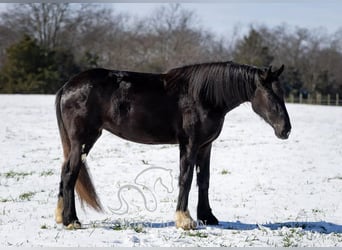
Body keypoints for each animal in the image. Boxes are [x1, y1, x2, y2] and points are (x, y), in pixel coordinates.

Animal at [54, 61, 292, 229]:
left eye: (282, 93)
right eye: (270, 94)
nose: (286, 130)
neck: (203, 96)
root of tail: (66, 87)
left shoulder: (205, 146)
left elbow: (204, 180)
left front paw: (207, 216)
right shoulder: (189, 144)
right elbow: (185, 178)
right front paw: (184, 220)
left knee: (65, 172)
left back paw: (60, 216)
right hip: (83, 141)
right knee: (70, 174)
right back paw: (71, 220)